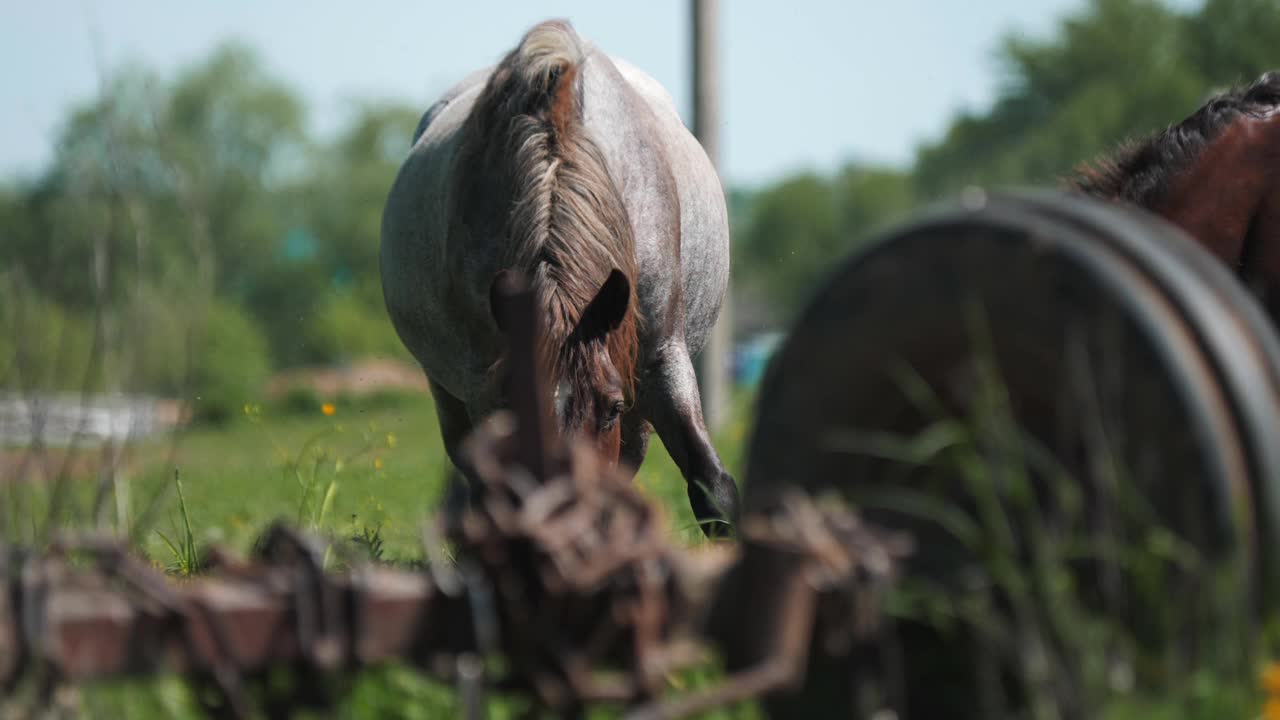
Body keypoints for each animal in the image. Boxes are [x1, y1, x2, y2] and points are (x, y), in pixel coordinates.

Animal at [376, 18, 742, 532]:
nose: (566, 518)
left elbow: (714, 491)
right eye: (518, 404)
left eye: (610, 408)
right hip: (445, 392)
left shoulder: (660, 359)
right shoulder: (483, 388)